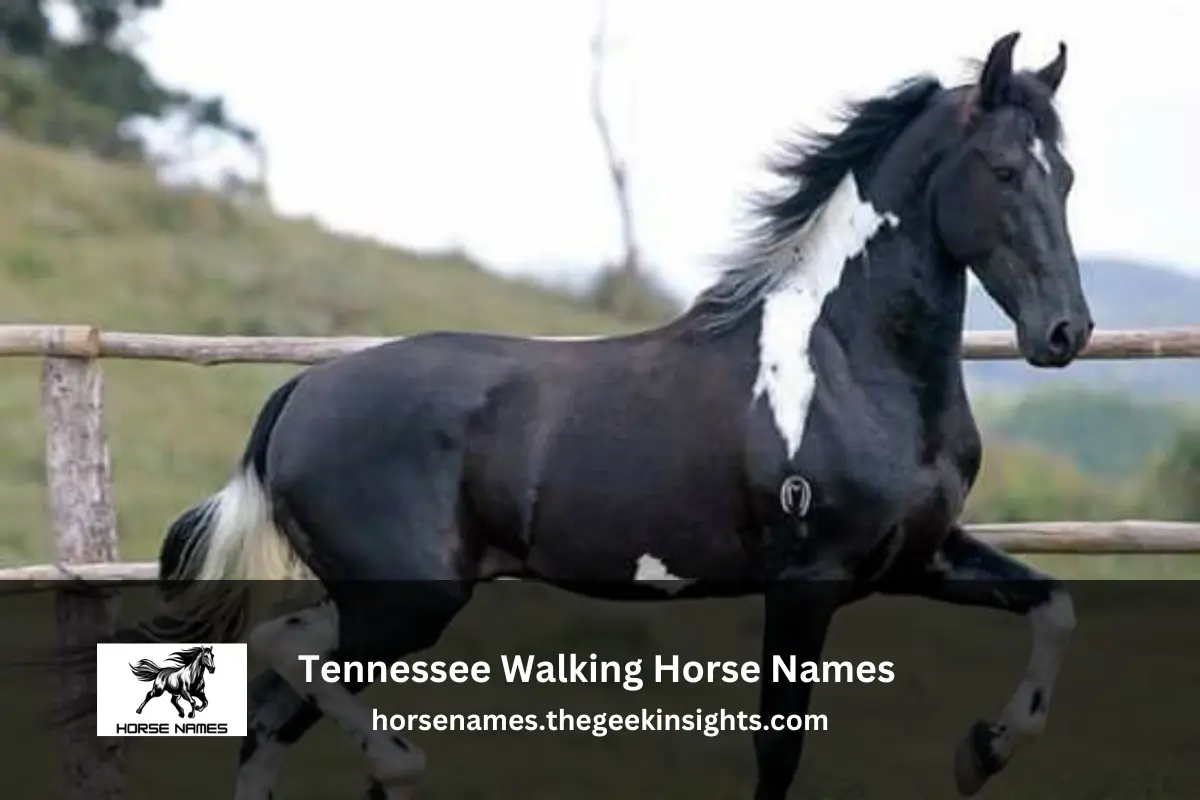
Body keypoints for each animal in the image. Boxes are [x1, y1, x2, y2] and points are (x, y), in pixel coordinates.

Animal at [113, 31, 1090, 800]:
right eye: (1004, 171)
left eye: (1070, 178)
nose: (1064, 333)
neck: (846, 365)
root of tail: (298, 397)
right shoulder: (805, 581)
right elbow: (778, 753)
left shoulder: (916, 559)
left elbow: (1053, 607)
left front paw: (983, 752)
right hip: (405, 598)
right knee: (281, 661)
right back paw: (399, 764)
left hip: (379, 597)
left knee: (271, 708)